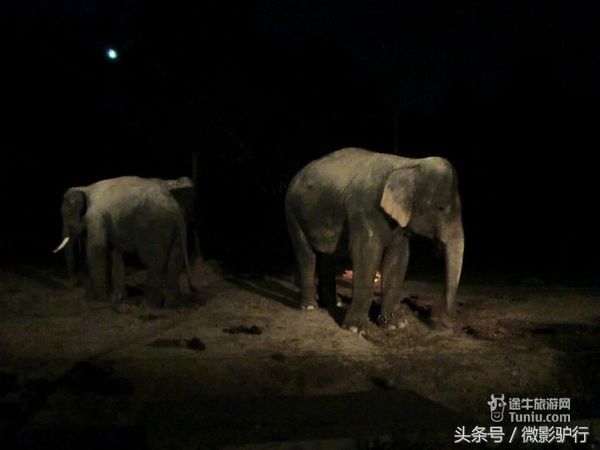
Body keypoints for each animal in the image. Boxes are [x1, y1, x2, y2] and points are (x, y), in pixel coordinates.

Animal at [53, 176, 195, 306]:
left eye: (66, 216)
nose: (74, 282)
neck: (85, 188)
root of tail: (175, 210)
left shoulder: (95, 216)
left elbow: (96, 248)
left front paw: (99, 300)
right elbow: (116, 253)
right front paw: (117, 299)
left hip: (154, 229)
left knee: (153, 262)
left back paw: (147, 307)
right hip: (178, 232)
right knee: (174, 264)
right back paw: (171, 305)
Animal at [284, 148, 464, 330]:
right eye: (441, 208)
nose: (444, 320)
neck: (407, 163)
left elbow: (398, 257)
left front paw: (395, 325)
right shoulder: (365, 209)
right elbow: (366, 254)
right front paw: (355, 329)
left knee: (327, 257)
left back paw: (333, 304)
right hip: (292, 212)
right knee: (306, 254)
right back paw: (310, 306)